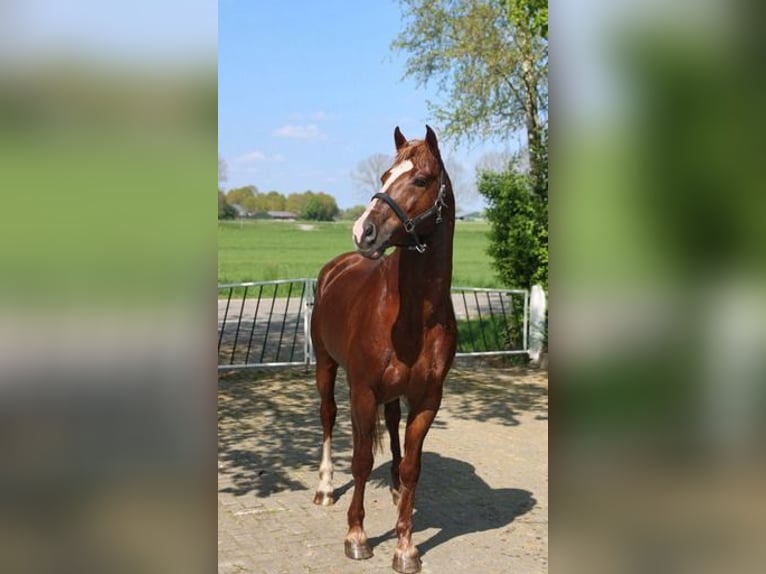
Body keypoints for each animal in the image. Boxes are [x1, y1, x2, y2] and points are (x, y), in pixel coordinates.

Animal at [310, 127, 456, 574]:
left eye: (421, 180)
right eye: (385, 175)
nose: (364, 231)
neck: (413, 314)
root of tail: (335, 267)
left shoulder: (427, 399)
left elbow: (412, 466)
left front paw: (405, 546)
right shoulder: (362, 391)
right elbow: (360, 460)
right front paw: (357, 536)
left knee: (391, 424)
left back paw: (391, 487)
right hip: (325, 365)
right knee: (327, 417)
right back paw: (325, 487)